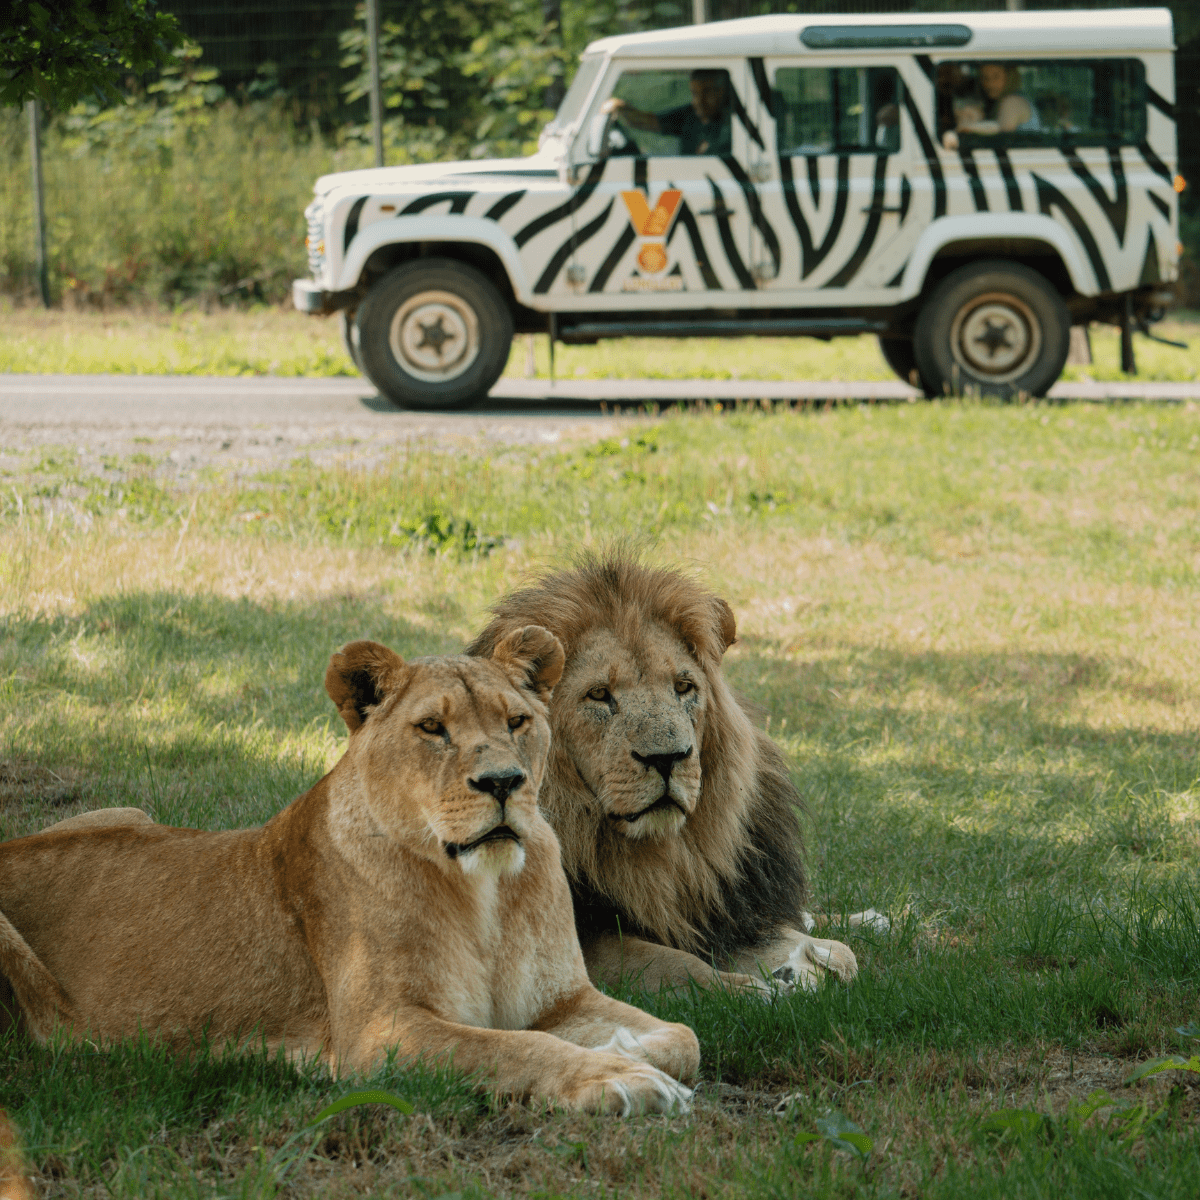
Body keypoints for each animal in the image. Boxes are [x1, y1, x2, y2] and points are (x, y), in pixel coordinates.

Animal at [0, 629, 698, 1115]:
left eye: (517, 721)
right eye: (433, 728)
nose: (504, 782)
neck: (486, 892)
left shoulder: (563, 999)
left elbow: (684, 1036)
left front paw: (623, 1049)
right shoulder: (381, 1032)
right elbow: (515, 1047)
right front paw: (613, 1074)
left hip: (128, 812)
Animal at [465, 553, 860, 995]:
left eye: (683, 687)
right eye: (599, 694)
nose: (667, 758)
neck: (661, 856)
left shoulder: (728, 910)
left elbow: (842, 953)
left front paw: (806, 963)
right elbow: (673, 964)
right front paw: (754, 989)